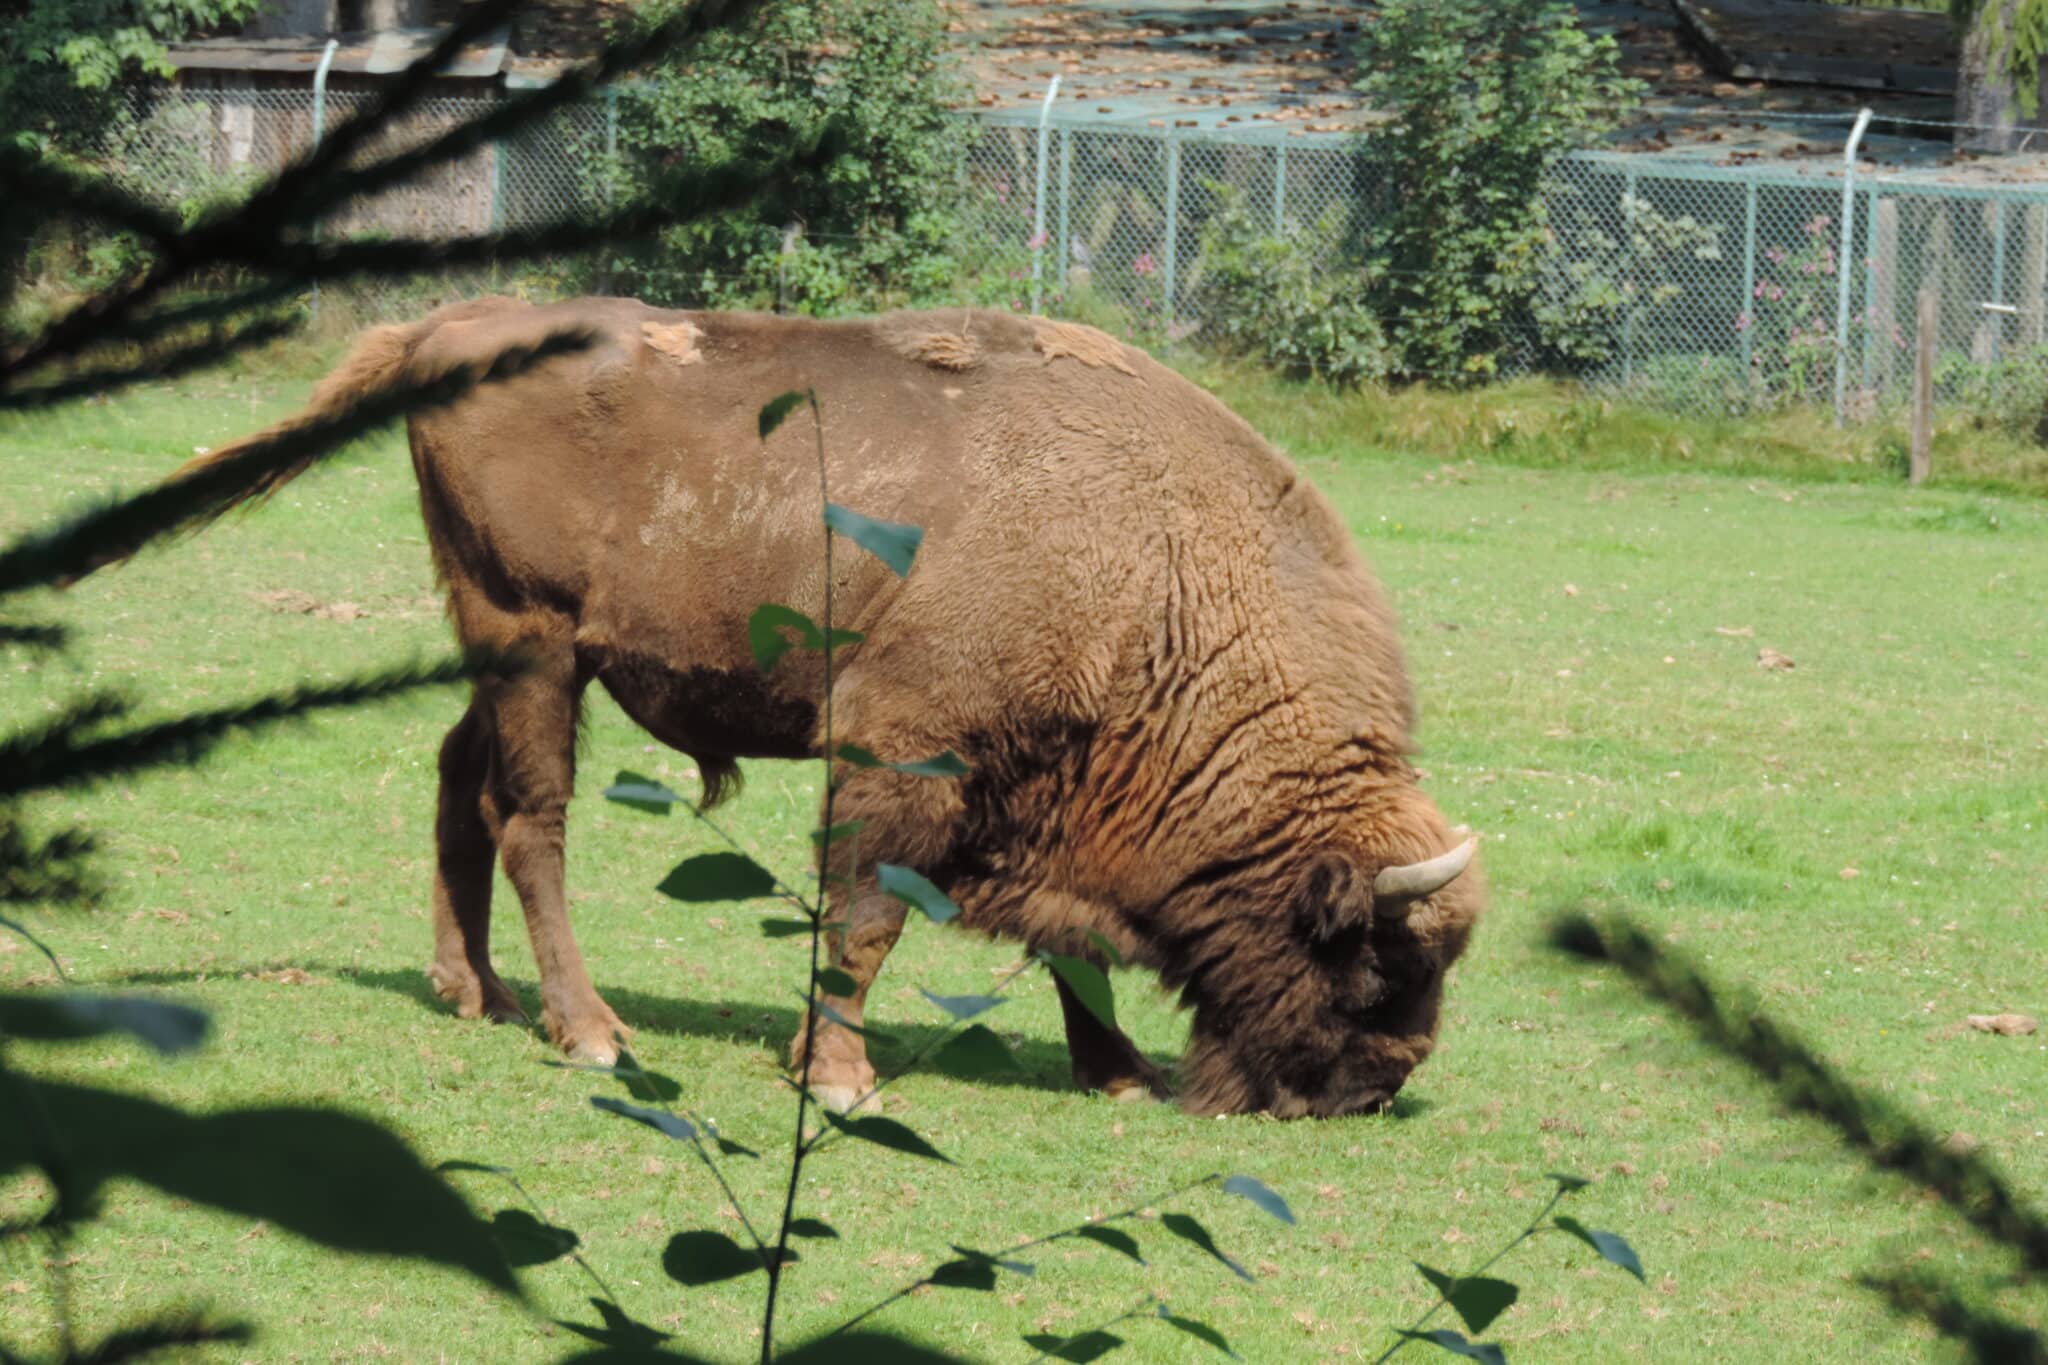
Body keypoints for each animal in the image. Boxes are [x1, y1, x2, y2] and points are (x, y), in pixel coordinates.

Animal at [151, 300, 1482, 1121]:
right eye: (1373, 962)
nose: (1372, 1089)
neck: (1157, 570)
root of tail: (449, 325)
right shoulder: (900, 756)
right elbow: (863, 927)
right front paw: (840, 1080)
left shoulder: (1041, 794)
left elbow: (1070, 950)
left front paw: (1115, 1074)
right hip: (531, 643)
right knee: (532, 820)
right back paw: (589, 1030)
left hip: (504, 654)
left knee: (453, 783)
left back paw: (472, 989)